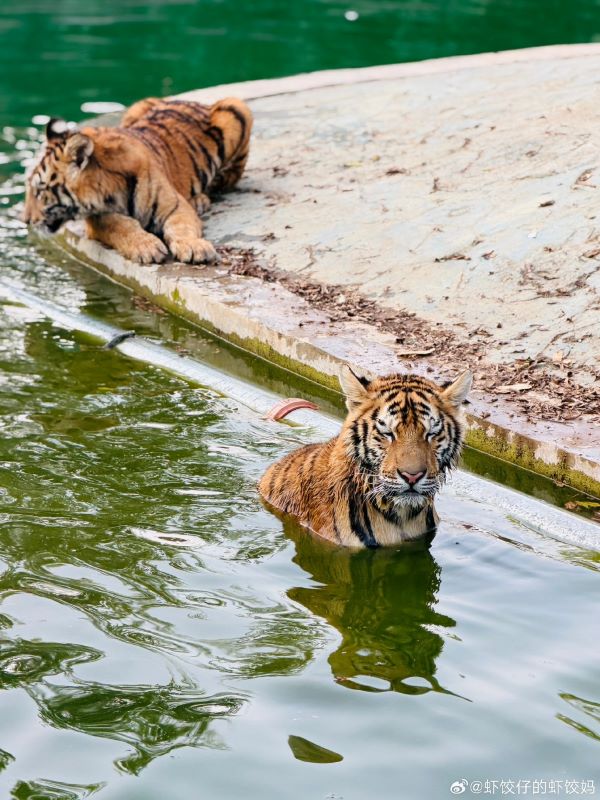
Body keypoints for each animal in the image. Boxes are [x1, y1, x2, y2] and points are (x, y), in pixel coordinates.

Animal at [22, 96, 253, 265]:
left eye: (40, 191)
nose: (25, 220)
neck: (108, 190)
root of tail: (188, 101)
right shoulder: (97, 219)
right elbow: (120, 225)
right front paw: (147, 247)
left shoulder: (175, 207)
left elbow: (181, 227)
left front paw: (195, 247)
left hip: (237, 109)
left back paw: (199, 200)